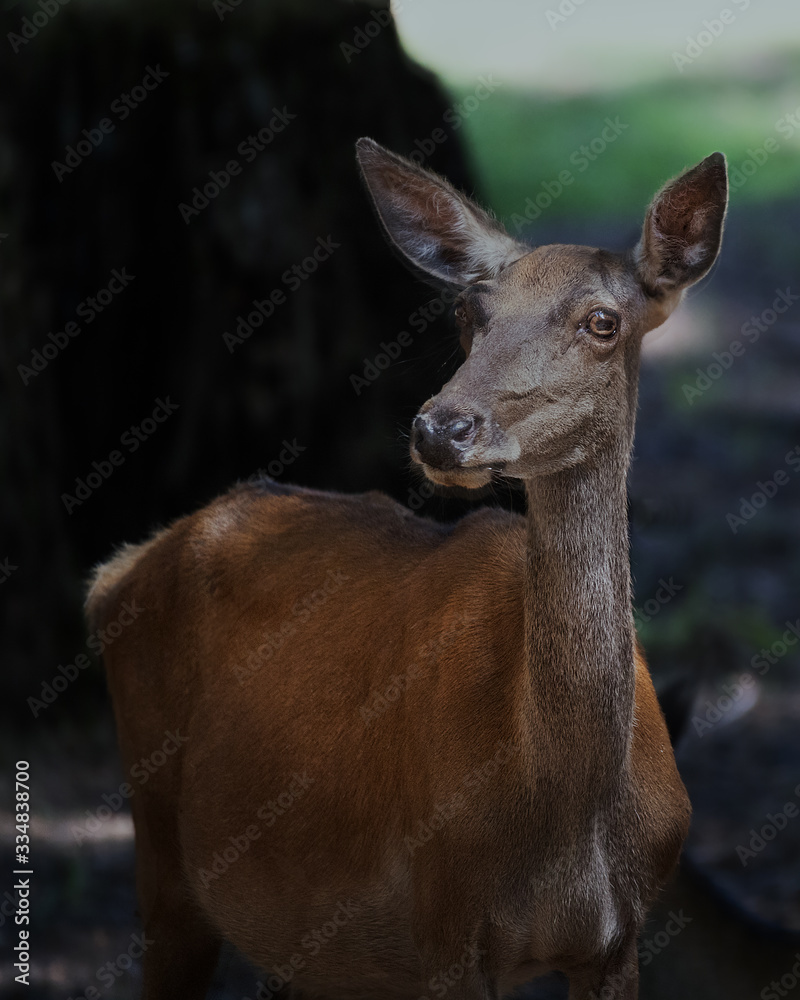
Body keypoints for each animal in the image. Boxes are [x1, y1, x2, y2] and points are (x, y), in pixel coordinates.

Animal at [84, 141, 728, 1000]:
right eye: (468, 313)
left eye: (603, 321)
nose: (440, 428)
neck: (565, 813)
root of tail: (113, 574)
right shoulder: (443, 921)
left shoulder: (619, 942)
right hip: (161, 852)